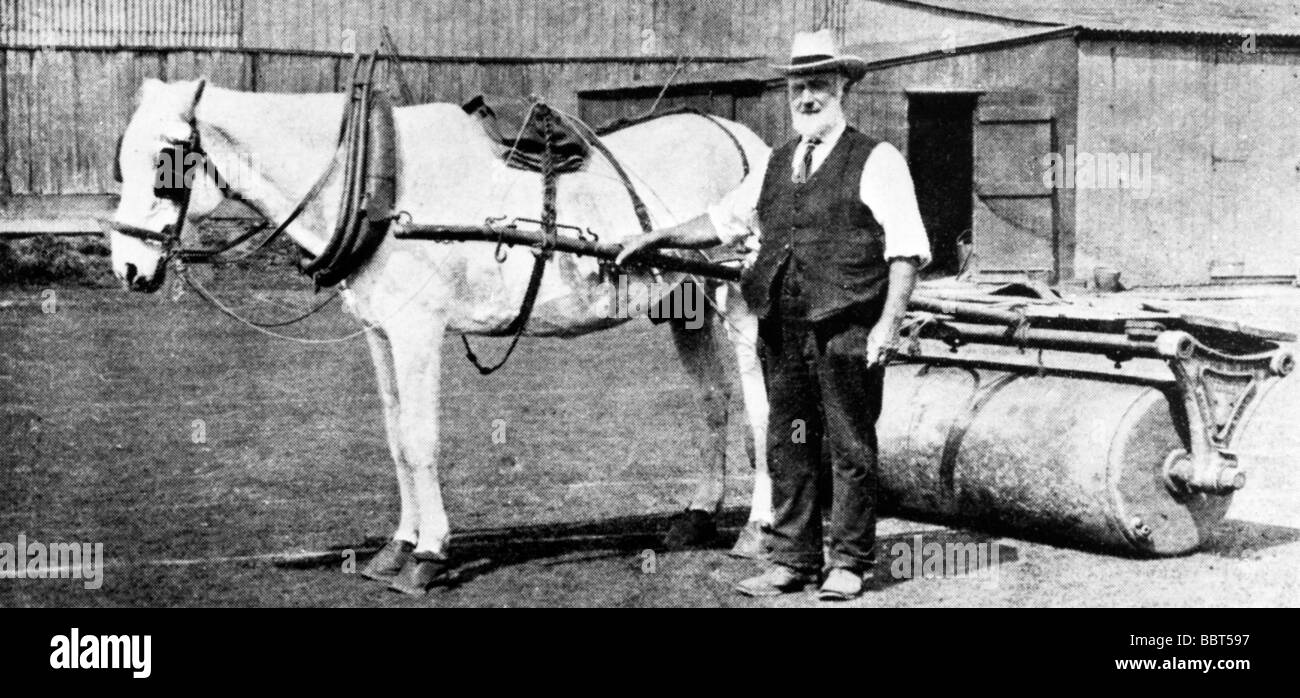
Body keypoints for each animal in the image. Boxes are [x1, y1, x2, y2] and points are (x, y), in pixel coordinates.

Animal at [109, 77, 769, 592]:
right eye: (122, 158)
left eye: (166, 161)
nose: (128, 269)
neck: (378, 184)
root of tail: (750, 143)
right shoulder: (380, 333)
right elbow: (397, 438)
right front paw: (396, 547)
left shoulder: (417, 331)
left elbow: (422, 441)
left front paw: (427, 556)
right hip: (688, 303)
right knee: (713, 400)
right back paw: (697, 515)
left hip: (738, 300)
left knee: (762, 410)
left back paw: (758, 529)